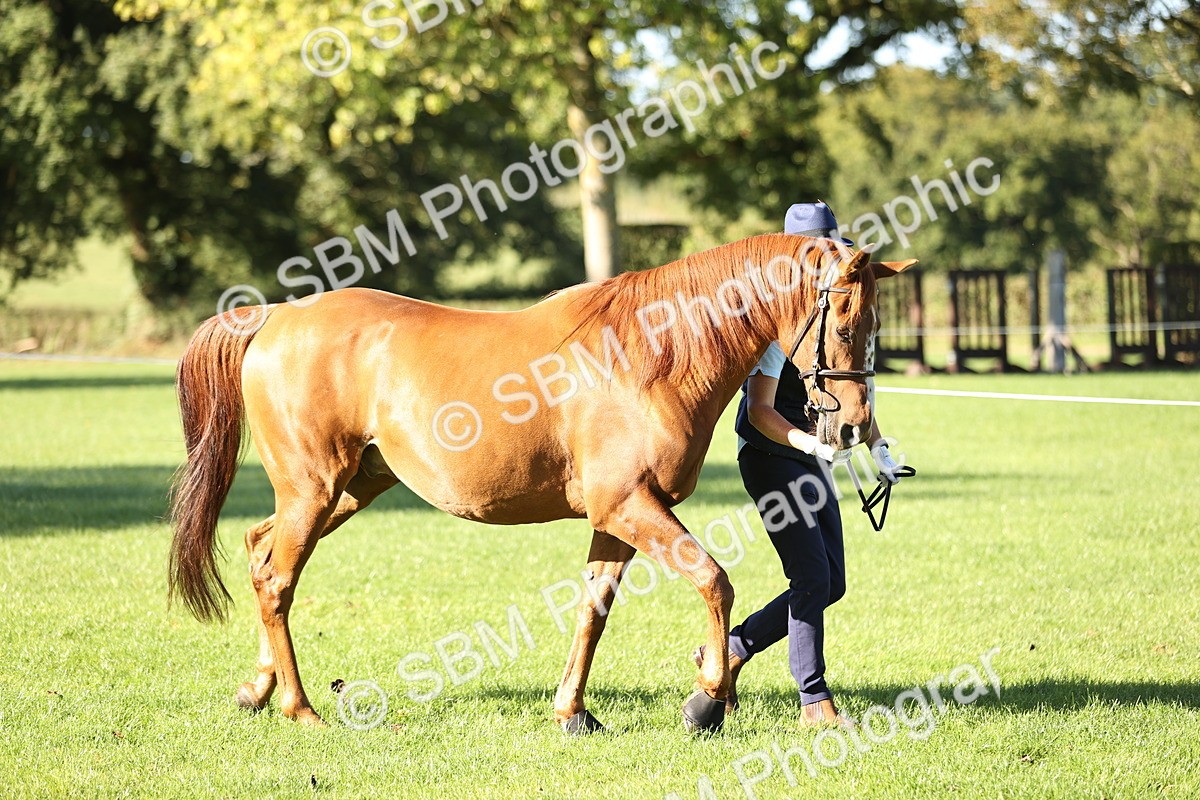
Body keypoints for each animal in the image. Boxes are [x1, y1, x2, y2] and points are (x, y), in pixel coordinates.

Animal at [167, 232, 916, 732]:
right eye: (844, 320)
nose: (855, 425)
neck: (651, 353)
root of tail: (275, 317)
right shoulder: (631, 507)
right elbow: (714, 581)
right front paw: (710, 697)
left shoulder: (618, 519)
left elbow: (593, 610)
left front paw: (573, 711)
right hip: (315, 489)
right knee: (277, 580)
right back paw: (299, 707)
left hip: (349, 489)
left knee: (261, 550)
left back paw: (257, 689)